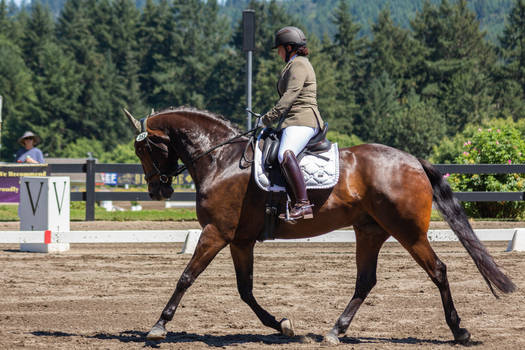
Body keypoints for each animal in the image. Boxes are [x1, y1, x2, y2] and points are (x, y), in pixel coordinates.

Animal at [123, 106, 512, 344]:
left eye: (144, 150)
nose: (158, 191)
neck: (221, 159)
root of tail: (413, 160)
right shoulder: (240, 240)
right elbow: (245, 290)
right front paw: (282, 325)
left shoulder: (216, 233)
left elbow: (186, 277)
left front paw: (158, 326)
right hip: (370, 231)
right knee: (366, 281)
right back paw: (335, 331)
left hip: (409, 231)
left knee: (438, 270)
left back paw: (459, 331)